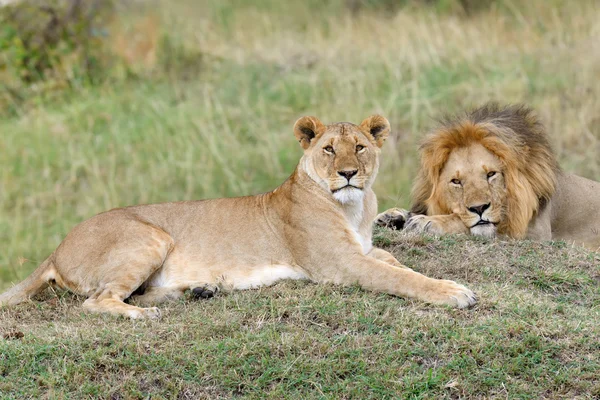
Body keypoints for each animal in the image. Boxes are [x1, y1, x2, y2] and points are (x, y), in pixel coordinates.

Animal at [1, 114, 478, 318]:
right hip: (150, 237)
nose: (347, 173)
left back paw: (196, 291)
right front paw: (454, 293)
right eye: (328, 149)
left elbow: (397, 263)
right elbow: (400, 277)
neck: (355, 207)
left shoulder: (362, 251)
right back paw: (149, 315)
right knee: (97, 301)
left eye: (359, 147)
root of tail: (56, 248)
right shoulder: (340, 265)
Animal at [376, 104, 600, 252]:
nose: (479, 208)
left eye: (491, 174)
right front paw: (393, 216)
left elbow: (464, 223)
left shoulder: (534, 234)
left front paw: (427, 222)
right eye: (456, 181)